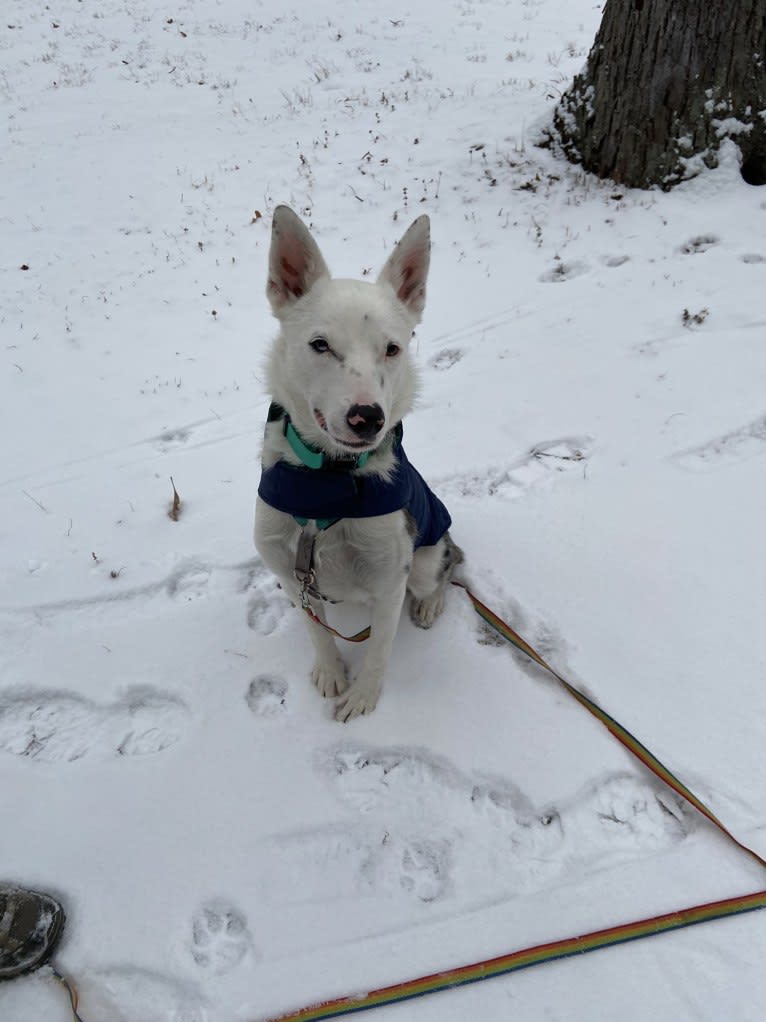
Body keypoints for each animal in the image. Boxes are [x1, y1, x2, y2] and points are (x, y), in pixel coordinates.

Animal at [256, 205, 461, 719]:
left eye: (392, 348)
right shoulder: (290, 574)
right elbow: (317, 633)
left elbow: (380, 651)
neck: (329, 481)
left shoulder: (391, 580)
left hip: (426, 558)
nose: (367, 418)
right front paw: (331, 672)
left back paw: (430, 604)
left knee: (449, 566)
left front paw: (364, 696)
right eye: (320, 345)